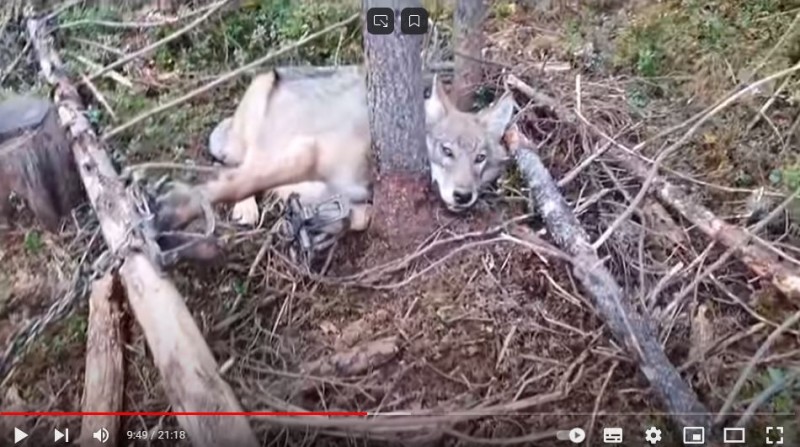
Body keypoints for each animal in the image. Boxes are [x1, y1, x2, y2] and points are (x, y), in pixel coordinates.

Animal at [155, 64, 520, 242]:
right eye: (446, 151)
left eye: (480, 159)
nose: (463, 196)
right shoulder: (305, 152)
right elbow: (233, 183)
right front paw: (176, 210)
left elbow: (360, 215)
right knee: (238, 166)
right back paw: (245, 207)